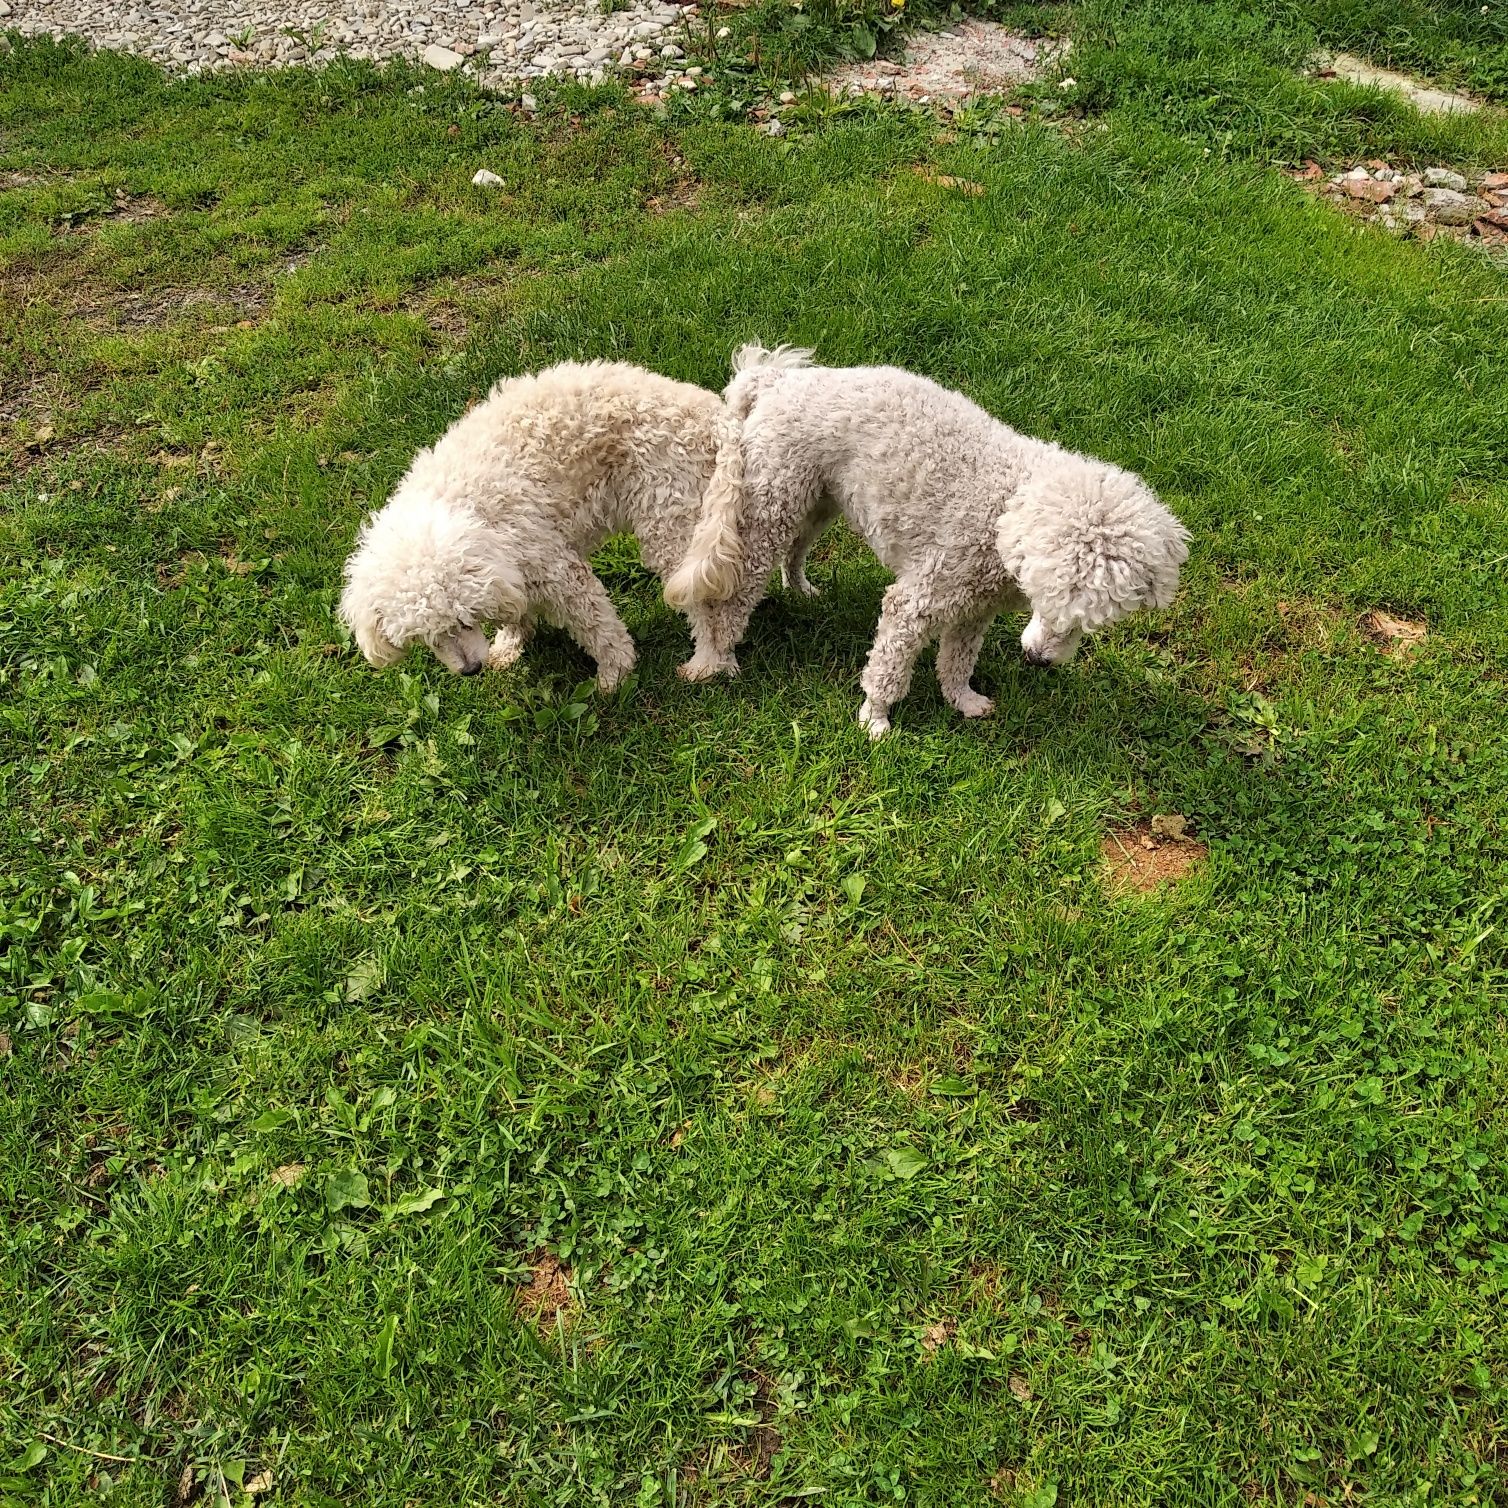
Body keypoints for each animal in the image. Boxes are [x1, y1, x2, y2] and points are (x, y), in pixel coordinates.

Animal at [339, 361, 744, 690]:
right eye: (427, 636)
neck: (456, 505)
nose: (471, 670)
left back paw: (707, 662)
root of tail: (715, 416)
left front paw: (615, 675)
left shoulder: (557, 572)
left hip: (670, 521)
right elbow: (514, 611)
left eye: (464, 619)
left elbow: (599, 627)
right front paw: (509, 646)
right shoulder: (511, 576)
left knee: (708, 606)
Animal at [681, 346, 1188, 735]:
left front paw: (963, 701)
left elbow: (958, 660)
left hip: (818, 499)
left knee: (798, 547)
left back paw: (800, 588)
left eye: (1092, 622)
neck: (1002, 512)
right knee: (738, 590)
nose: (1038, 661)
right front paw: (875, 721)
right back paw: (715, 659)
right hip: (770, 504)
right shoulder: (917, 601)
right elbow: (887, 669)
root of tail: (779, 379)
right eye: (1047, 597)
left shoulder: (975, 608)